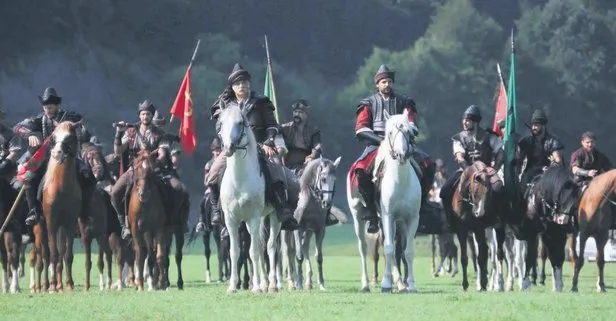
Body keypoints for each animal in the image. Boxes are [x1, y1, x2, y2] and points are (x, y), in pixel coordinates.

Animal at [127, 149, 170, 290]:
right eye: (136, 169)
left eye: (151, 170)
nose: (143, 194)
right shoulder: (135, 229)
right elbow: (140, 255)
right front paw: (140, 285)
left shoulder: (158, 228)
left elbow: (160, 255)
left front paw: (162, 284)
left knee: (153, 253)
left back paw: (155, 281)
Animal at [218, 102, 280, 292]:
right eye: (221, 123)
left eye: (240, 123)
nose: (229, 147)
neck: (240, 180)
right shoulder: (232, 220)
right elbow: (235, 252)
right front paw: (232, 286)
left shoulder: (253, 217)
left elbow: (253, 252)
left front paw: (257, 288)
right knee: (261, 246)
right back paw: (265, 283)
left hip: (273, 217)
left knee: (270, 247)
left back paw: (272, 285)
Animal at [348, 109, 422, 292]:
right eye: (389, 133)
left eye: (409, 132)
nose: (401, 155)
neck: (400, 181)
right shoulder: (388, 215)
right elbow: (388, 249)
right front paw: (386, 284)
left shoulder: (411, 218)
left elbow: (407, 251)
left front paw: (410, 284)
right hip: (359, 217)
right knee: (364, 248)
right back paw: (366, 284)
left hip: (395, 222)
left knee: (396, 248)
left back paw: (400, 283)